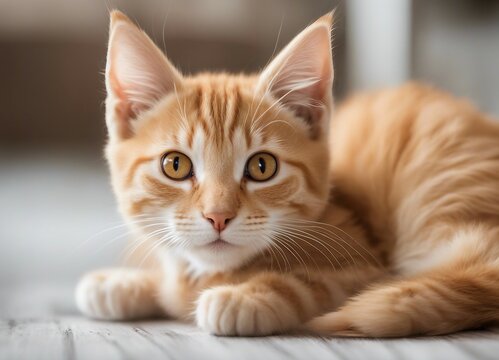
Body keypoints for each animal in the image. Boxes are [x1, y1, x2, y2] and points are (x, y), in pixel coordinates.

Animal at [76, 11, 499, 338]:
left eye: (262, 167)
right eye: (175, 165)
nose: (218, 216)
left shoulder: (366, 266)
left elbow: (312, 282)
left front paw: (246, 295)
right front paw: (122, 282)